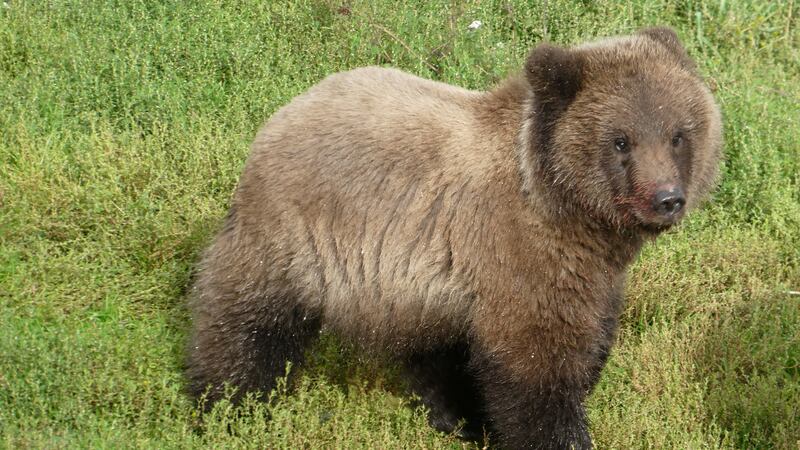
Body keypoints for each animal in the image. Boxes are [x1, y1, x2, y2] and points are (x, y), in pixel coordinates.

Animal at [186, 26, 720, 448]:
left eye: (678, 134)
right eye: (621, 140)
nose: (667, 199)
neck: (571, 214)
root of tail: (284, 112)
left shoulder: (591, 276)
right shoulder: (517, 255)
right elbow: (536, 365)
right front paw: (559, 435)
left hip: (413, 289)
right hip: (293, 234)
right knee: (247, 324)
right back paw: (226, 408)